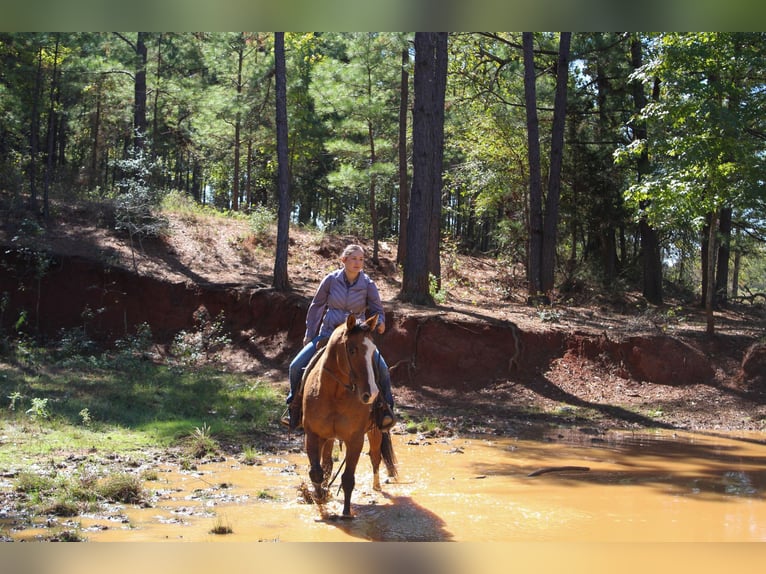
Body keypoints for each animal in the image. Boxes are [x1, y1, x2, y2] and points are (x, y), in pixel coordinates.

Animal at [300, 316, 400, 516]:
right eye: (352, 350)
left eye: (373, 352)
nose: (372, 394)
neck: (335, 394)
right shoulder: (313, 434)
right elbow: (316, 471)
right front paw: (320, 498)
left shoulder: (355, 439)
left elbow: (348, 478)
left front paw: (346, 513)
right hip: (328, 438)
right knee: (327, 463)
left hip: (376, 432)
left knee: (375, 457)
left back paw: (377, 486)